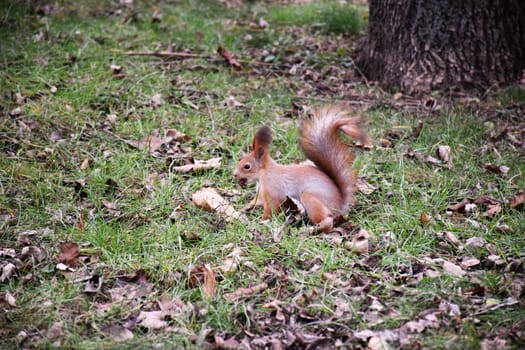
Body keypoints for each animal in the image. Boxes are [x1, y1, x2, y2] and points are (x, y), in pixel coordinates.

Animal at [233, 106, 368, 232]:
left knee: (325, 219)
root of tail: (340, 205)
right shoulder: (262, 193)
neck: (264, 174)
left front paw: (262, 221)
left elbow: (270, 208)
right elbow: (257, 201)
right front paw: (246, 206)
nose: (234, 174)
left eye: (247, 166)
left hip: (310, 198)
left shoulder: (274, 192)